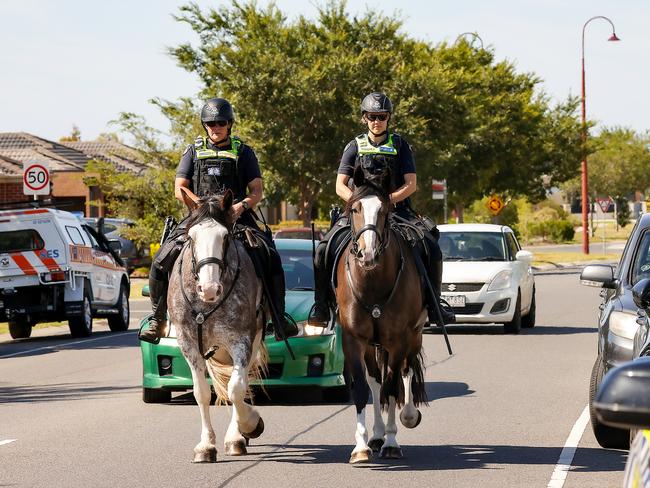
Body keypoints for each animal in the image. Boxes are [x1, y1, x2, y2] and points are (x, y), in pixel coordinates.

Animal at [170, 189, 268, 464]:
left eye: (225, 237)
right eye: (191, 237)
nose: (209, 289)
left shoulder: (241, 341)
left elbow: (236, 389)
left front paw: (249, 425)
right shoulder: (188, 344)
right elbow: (202, 393)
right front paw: (205, 446)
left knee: (241, 383)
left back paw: (237, 436)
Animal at [334, 166, 426, 464]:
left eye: (384, 210)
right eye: (355, 208)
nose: (368, 253)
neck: (372, 282)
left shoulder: (398, 340)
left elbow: (393, 386)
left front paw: (392, 442)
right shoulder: (353, 340)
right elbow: (364, 389)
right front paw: (362, 447)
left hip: (414, 335)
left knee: (406, 372)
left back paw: (407, 416)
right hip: (371, 345)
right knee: (376, 382)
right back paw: (375, 436)